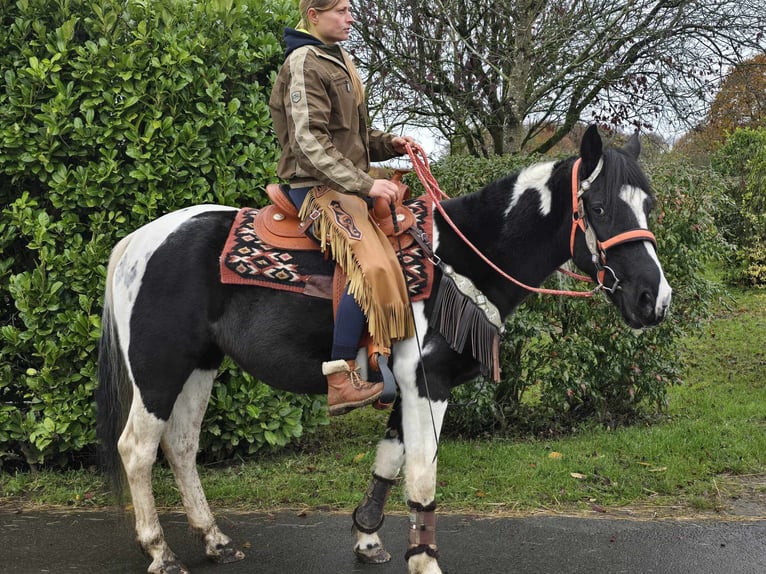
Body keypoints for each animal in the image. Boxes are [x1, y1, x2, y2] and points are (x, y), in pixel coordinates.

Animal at [96, 126, 672, 574]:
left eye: (649, 205)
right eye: (598, 206)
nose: (655, 299)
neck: (456, 259)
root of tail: (137, 242)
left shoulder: (409, 385)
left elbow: (390, 461)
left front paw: (369, 537)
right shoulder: (428, 384)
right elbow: (420, 473)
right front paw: (424, 559)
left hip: (200, 365)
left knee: (181, 446)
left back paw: (215, 540)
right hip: (158, 369)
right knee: (138, 449)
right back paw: (161, 551)